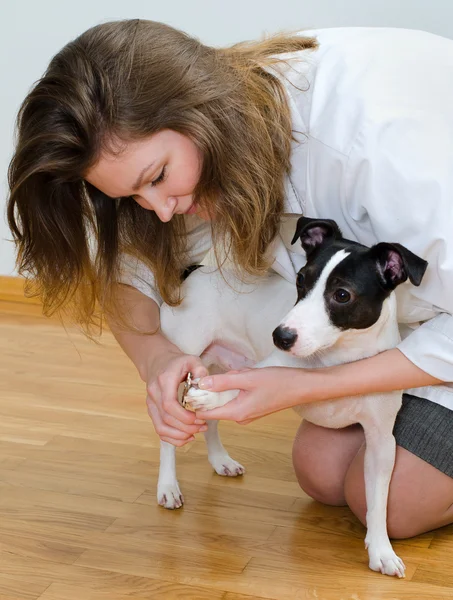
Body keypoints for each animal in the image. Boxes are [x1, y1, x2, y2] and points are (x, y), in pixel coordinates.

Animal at [157, 216, 426, 576]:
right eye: (301, 280)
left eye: (342, 294)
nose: (280, 336)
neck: (338, 358)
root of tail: (197, 270)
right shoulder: (269, 369)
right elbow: (235, 388)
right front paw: (212, 397)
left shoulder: (382, 442)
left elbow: (378, 501)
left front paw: (381, 550)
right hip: (185, 359)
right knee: (168, 436)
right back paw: (168, 485)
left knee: (210, 423)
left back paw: (220, 460)